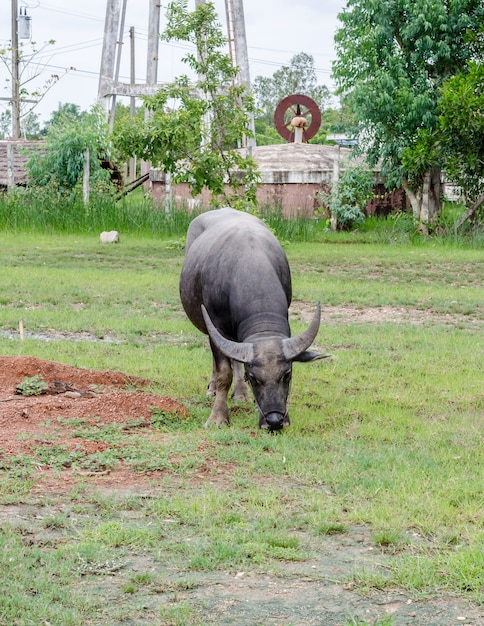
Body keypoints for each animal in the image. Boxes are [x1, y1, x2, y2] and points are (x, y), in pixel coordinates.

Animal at [179, 207, 328, 432]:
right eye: (254, 378)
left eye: (287, 374)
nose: (274, 421)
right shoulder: (217, 327)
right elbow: (224, 373)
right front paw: (218, 417)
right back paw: (212, 389)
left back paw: (241, 394)